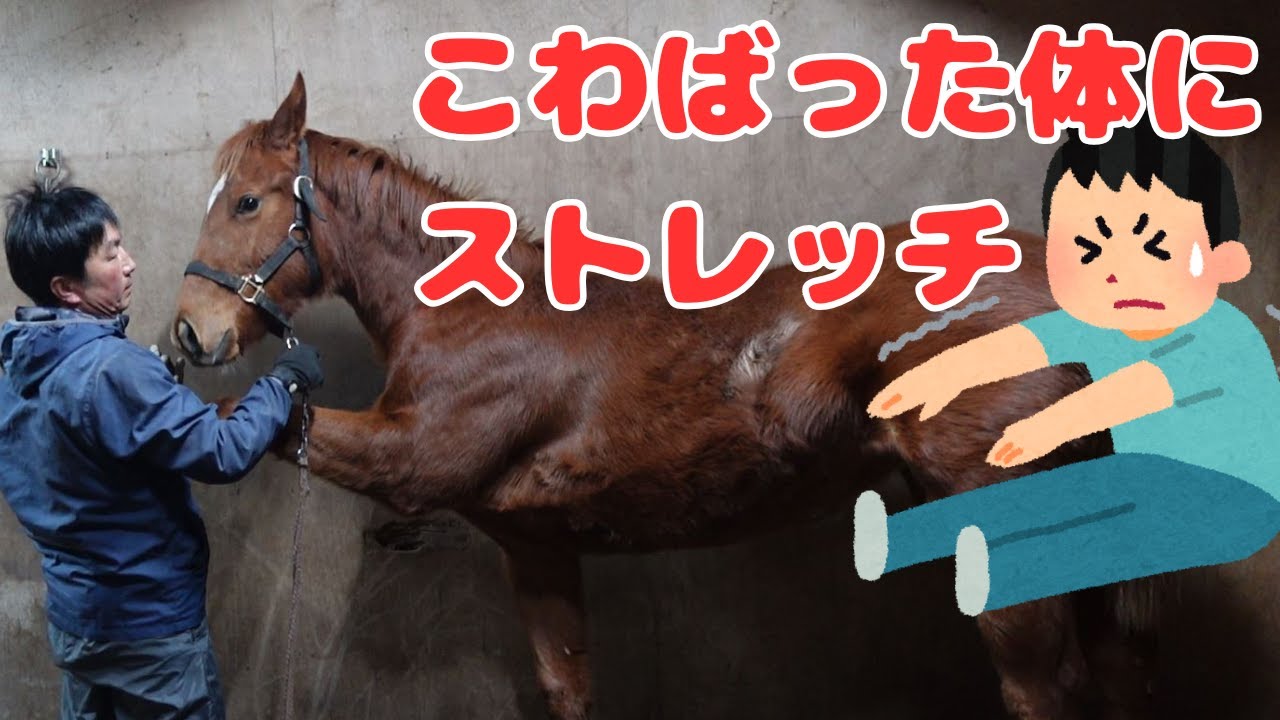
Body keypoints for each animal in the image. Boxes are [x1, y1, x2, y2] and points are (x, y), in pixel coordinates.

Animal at [172, 73, 1158, 720]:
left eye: (249, 201)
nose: (190, 333)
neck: (476, 311)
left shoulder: (411, 462)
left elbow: (249, 424)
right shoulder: (536, 545)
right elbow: (568, 687)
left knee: (1041, 688)